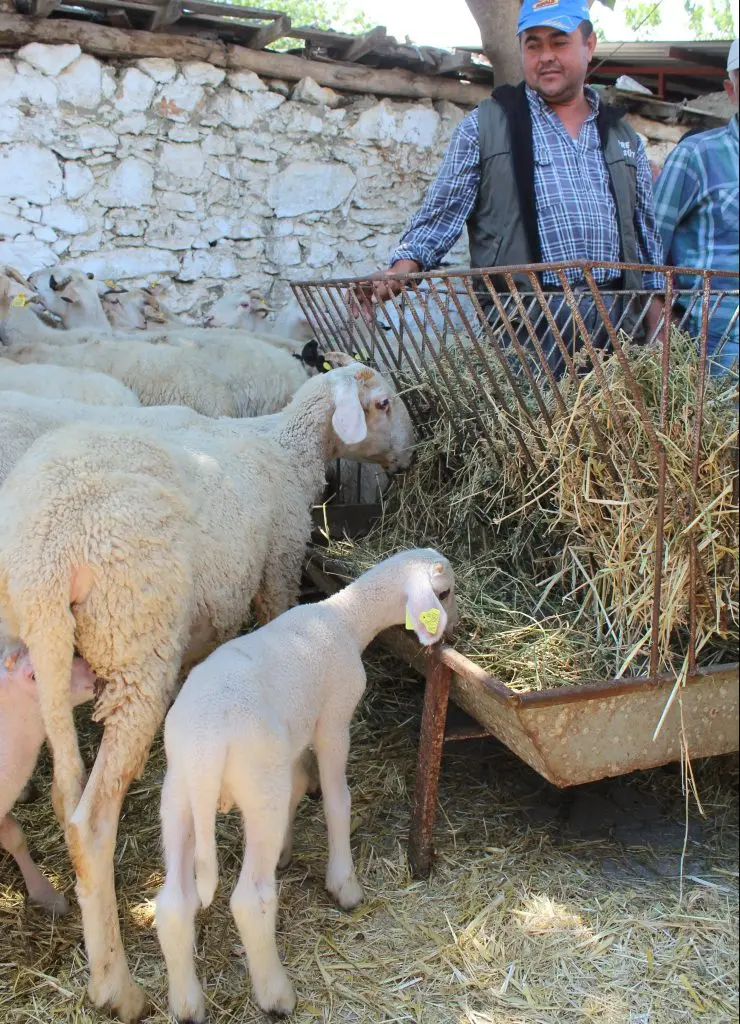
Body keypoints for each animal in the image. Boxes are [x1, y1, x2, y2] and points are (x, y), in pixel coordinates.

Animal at [155, 548, 454, 1019]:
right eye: (444, 593)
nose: (453, 631)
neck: (345, 618)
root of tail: (208, 744)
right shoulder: (333, 721)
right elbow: (337, 801)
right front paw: (344, 884)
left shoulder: (294, 741)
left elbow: (299, 785)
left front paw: (286, 849)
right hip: (259, 788)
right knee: (250, 899)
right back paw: (276, 995)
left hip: (178, 795)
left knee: (172, 905)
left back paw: (187, 1004)